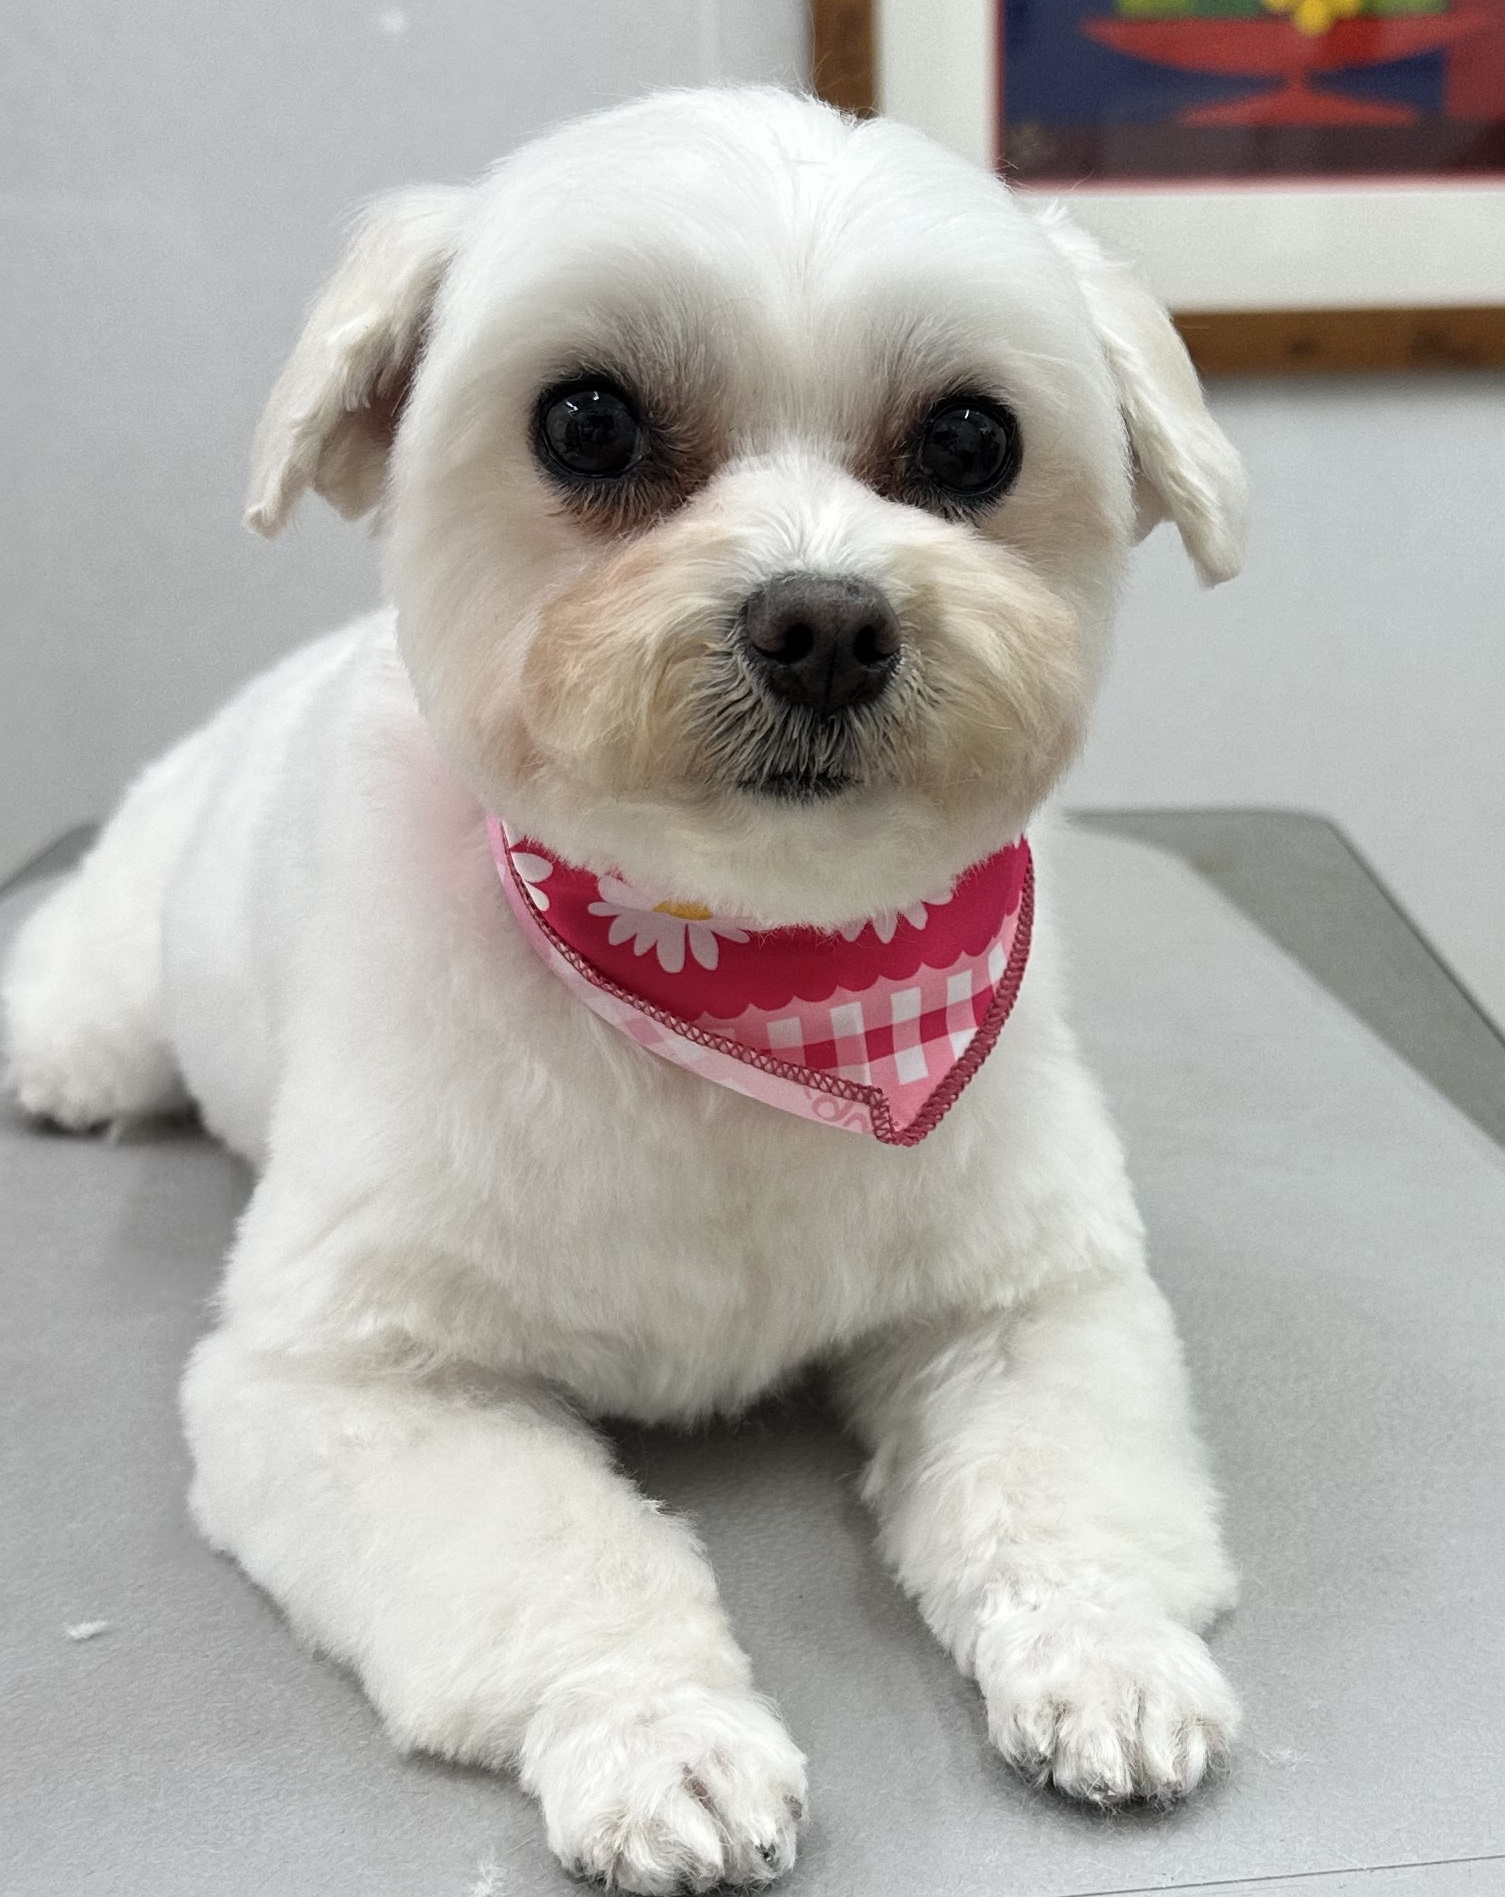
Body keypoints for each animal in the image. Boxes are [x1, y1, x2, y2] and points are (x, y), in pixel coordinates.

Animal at [4, 87, 1246, 1893]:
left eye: (970, 445)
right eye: (585, 423)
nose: (823, 622)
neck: (749, 983)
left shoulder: (1023, 1298)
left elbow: (1062, 1494)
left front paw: (1107, 1649)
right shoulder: (354, 1382)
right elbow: (562, 1560)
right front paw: (660, 1736)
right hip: (115, 982)